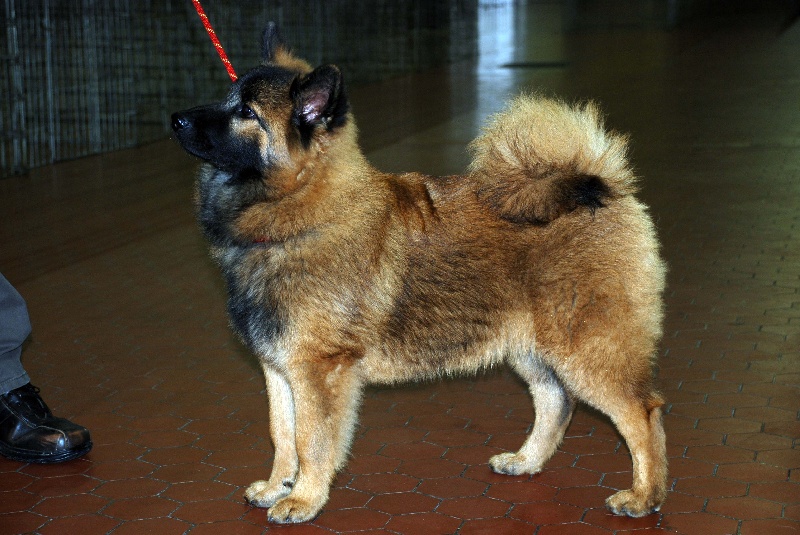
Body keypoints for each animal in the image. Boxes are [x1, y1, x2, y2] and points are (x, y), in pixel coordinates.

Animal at [172, 23, 668, 524]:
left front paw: (304, 499)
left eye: (246, 112)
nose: (176, 119)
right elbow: (283, 436)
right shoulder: (279, 368)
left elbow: (312, 441)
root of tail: (600, 185)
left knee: (643, 412)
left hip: (586, 348)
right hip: (532, 347)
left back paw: (644, 495)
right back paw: (526, 460)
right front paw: (278, 486)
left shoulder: (318, 370)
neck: (301, 215)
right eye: (228, 97)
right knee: (555, 402)